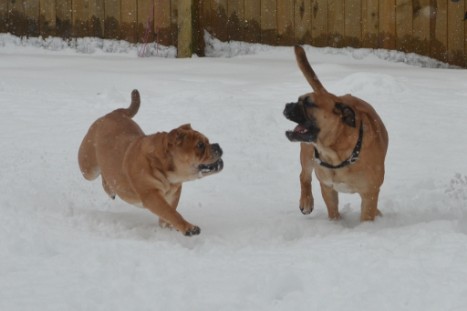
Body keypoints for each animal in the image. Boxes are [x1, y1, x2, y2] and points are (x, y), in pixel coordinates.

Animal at [77, 90, 224, 236]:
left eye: (207, 141)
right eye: (200, 145)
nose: (217, 145)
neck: (165, 169)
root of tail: (114, 113)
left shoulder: (174, 193)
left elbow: (170, 211)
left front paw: (166, 226)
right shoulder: (151, 195)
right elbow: (171, 212)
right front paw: (188, 227)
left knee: (107, 175)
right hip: (88, 168)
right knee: (97, 173)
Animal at [284, 46, 390, 222]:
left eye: (309, 103)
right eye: (298, 99)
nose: (287, 105)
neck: (336, 153)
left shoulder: (370, 193)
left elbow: (367, 214)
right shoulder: (328, 187)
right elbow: (333, 211)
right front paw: (336, 224)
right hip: (307, 154)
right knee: (304, 176)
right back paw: (306, 201)